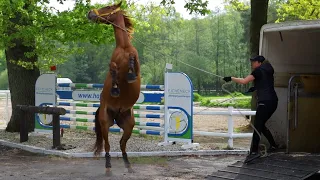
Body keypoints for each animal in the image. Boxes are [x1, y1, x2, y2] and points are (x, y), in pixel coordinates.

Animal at [86, 1, 140, 173]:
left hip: (129, 125)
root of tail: (116, 115)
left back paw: (128, 165)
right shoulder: (113, 65)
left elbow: (133, 61)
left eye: (108, 7)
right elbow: (114, 68)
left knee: (122, 144)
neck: (124, 47)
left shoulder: (137, 63)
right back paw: (108, 167)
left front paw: (130, 73)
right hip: (105, 123)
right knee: (108, 145)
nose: (90, 13)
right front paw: (115, 88)